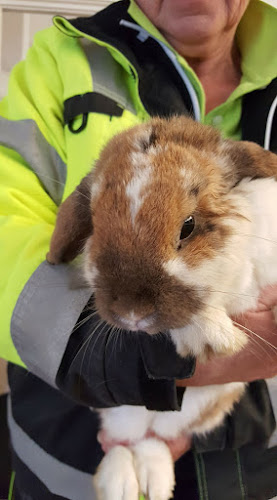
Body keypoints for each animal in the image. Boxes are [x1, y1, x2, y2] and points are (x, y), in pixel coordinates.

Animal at [47, 117, 276, 500]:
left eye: (188, 225)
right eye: (95, 224)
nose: (132, 313)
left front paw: (216, 339)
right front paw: (213, 338)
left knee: (156, 439)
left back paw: (151, 482)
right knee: (129, 441)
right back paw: (122, 483)